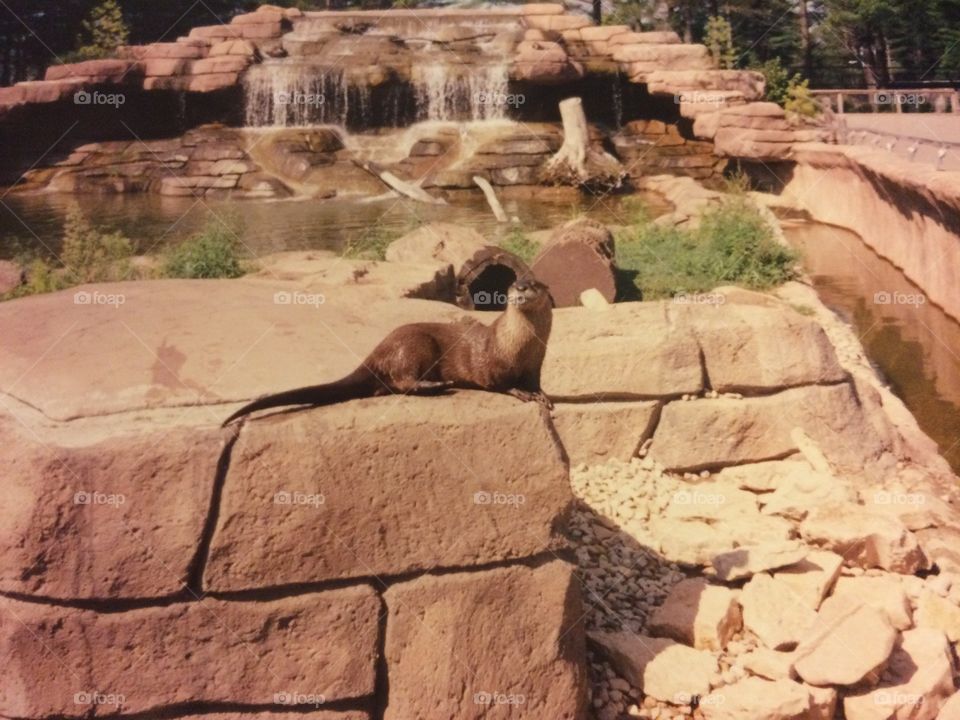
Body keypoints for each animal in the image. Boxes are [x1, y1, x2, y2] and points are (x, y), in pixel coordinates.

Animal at [222, 279, 553, 426]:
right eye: (513, 283)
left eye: (535, 284)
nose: (520, 287)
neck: (519, 345)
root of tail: (377, 350)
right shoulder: (492, 363)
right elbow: (499, 383)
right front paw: (522, 393)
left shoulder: (535, 365)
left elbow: (536, 383)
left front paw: (542, 395)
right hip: (414, 345)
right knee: (401, 381)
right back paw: (439, 385)